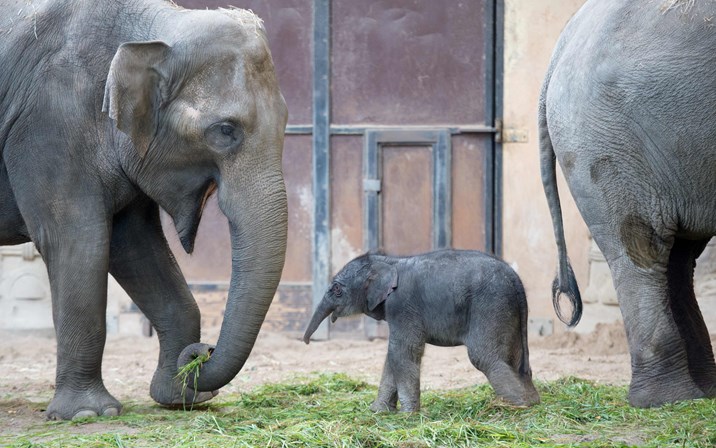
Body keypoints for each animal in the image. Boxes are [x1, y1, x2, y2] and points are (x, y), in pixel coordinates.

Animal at [2, 0, 290, 420]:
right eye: (225, 130)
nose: (203, 352)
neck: (158, 25)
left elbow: (136, 248)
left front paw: (180, 397)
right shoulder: (48, 125)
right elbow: (79, 240)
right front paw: (89, 414)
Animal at [300, 250, 536, 412]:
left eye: (337, 290)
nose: (307, 342)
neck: (389, 261)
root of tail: (516, 279)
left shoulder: (402, 306)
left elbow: (402, 352)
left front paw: (407, 414)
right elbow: (392, 356)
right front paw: (378, 411)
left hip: (490, 305)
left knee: (484, 356)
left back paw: (515, 406)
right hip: (508, 311)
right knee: (514, 359)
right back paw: (532, 402)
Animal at [544, 0, 716, 408]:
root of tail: (563, 43)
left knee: (677, 259)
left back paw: (699, 395)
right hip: (607, 141)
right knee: (643, 251)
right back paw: (669, 400)